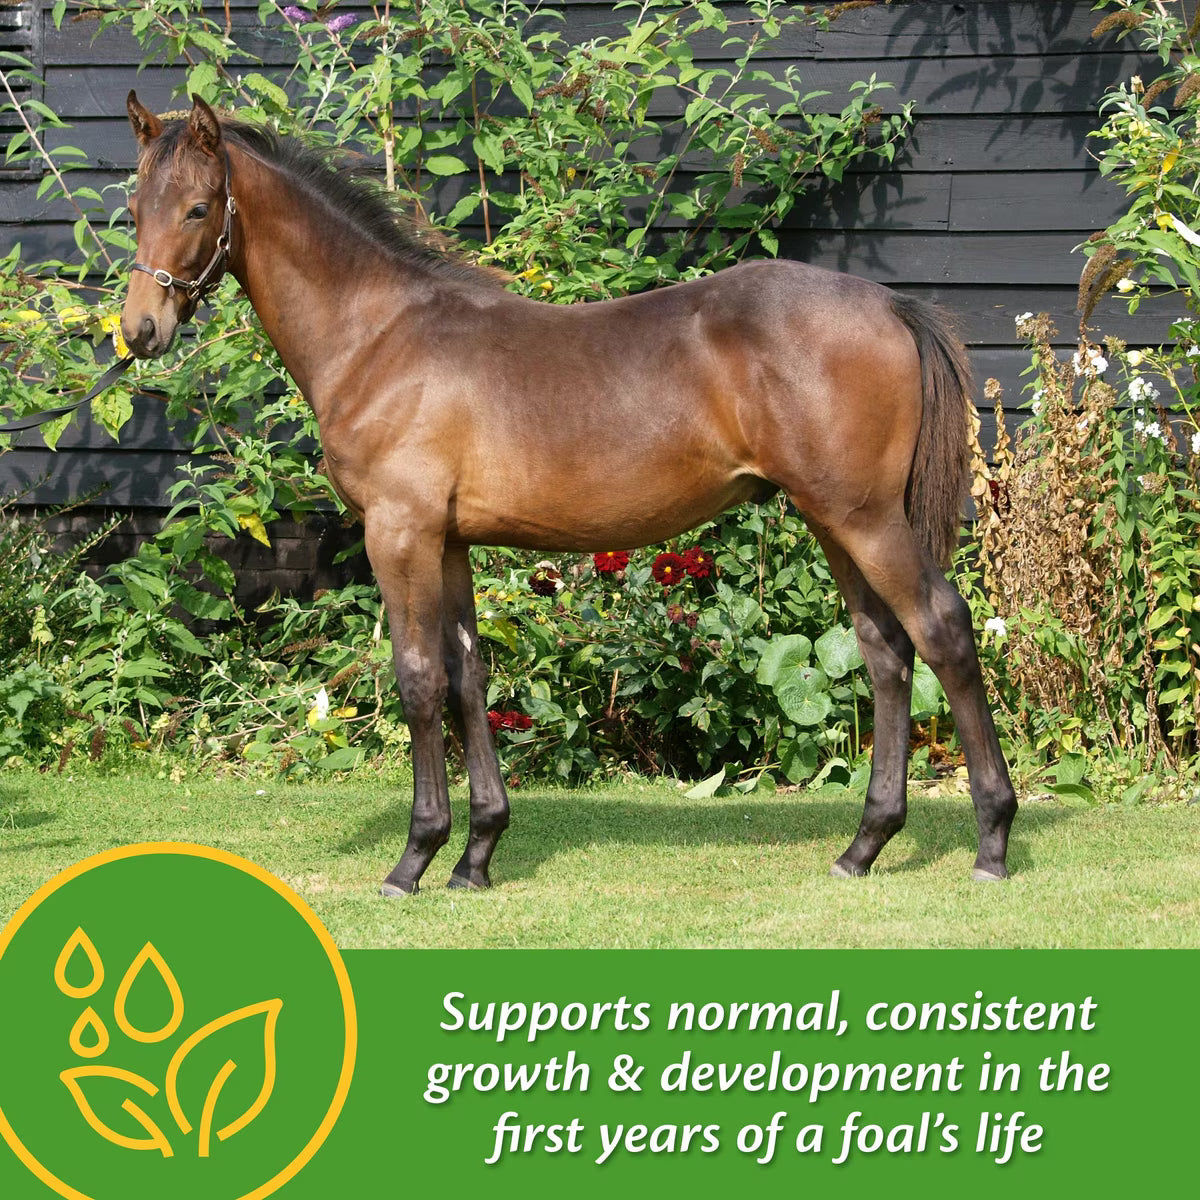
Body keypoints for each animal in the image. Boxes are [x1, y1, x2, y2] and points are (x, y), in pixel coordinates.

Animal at [121, 93, 1017, 895]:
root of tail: (890, 305)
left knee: (941, 630)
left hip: (865, 519)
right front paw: (477, 855)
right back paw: (864, 846)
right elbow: (467, 676)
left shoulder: (400, 532)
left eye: (198, 207)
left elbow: (418, 679)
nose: (138, 332)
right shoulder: (449, 540)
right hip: (836, 519)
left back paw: (993, 840)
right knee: (885, 650)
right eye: (133, 207)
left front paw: (415, 859)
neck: (379, 334)